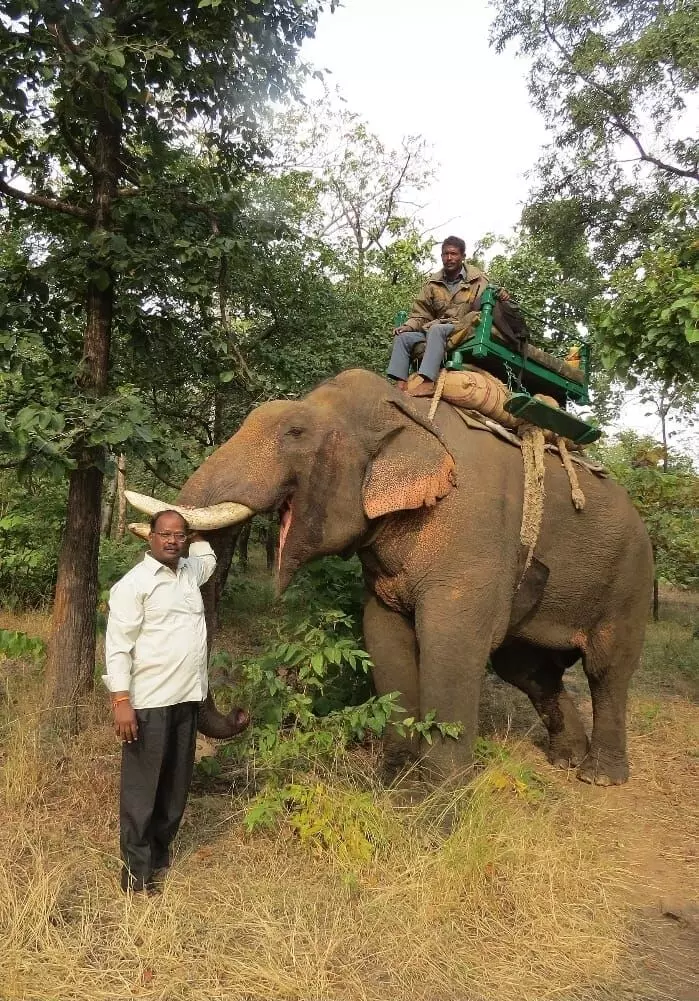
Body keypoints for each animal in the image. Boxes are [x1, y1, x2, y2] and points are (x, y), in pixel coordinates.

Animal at [126, 372, 652, 784]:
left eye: (295, 431)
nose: (241, 713)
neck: (406, 410)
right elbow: (383, 635)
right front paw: (397, 776)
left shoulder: (473, 533)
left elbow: (451, 644)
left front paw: (437, 798)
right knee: (530, 671)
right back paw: (566, 762)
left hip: (630, 580)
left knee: (606, 669)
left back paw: (600, 776)